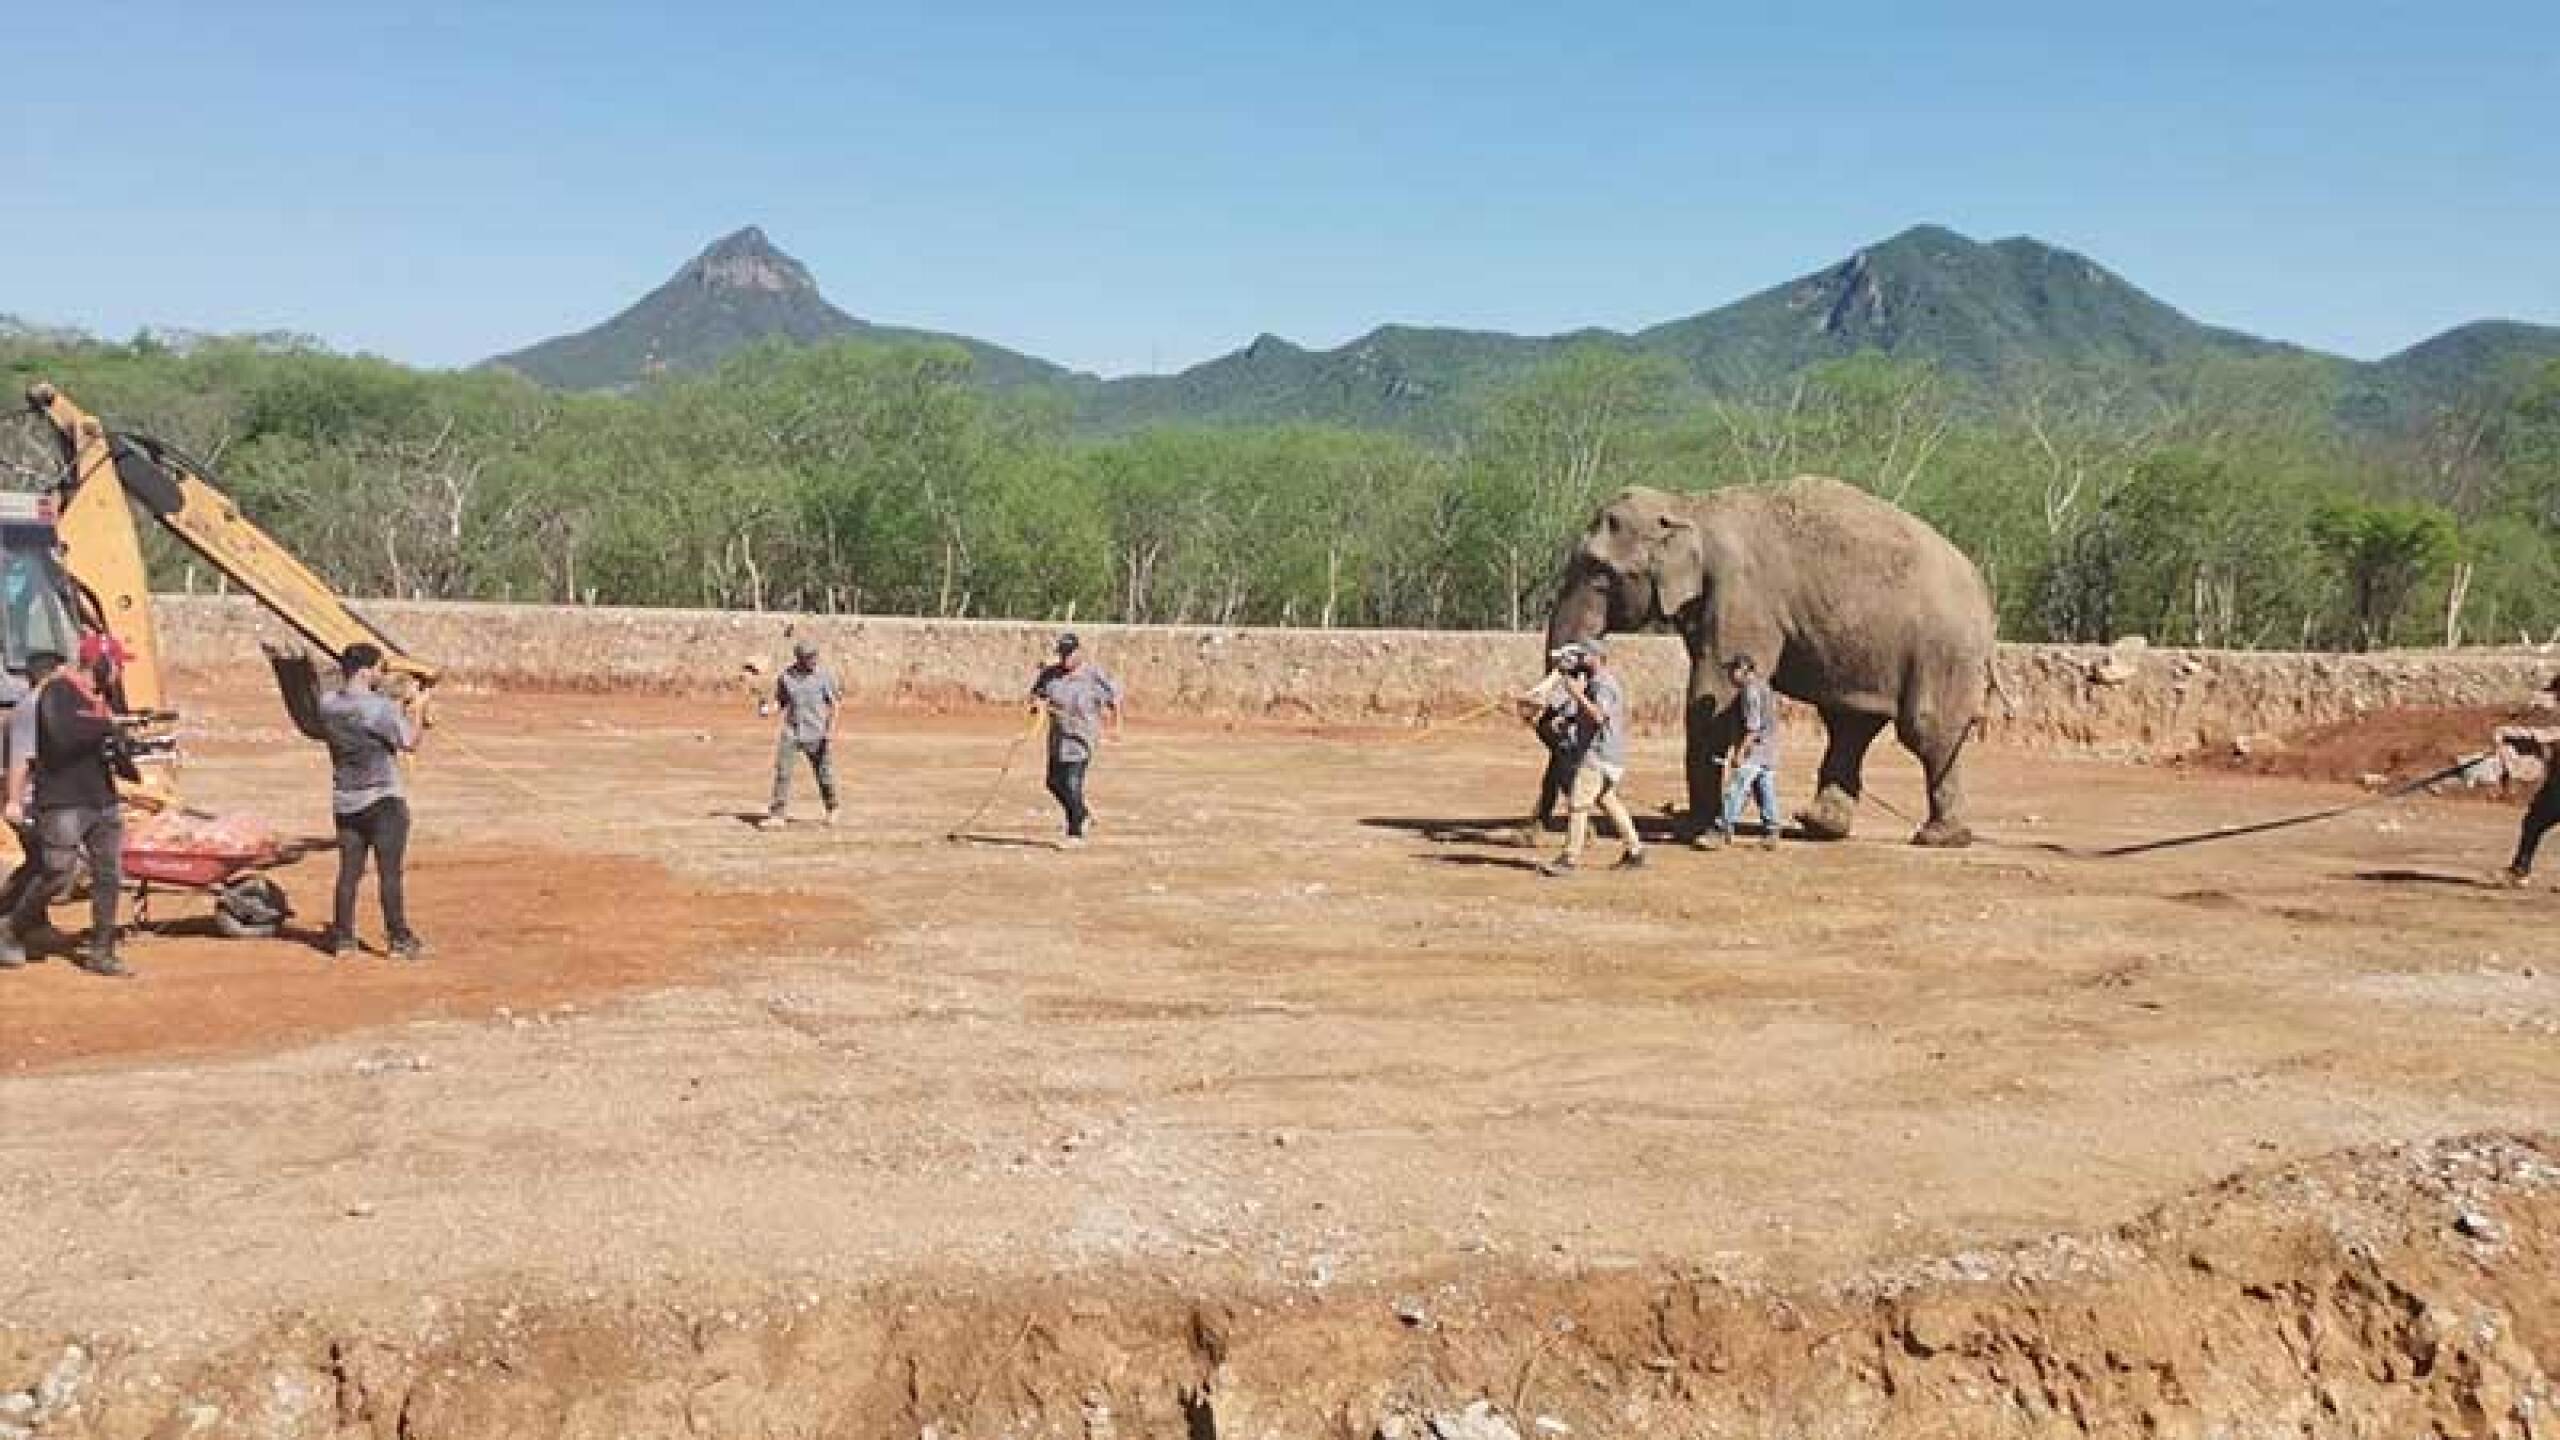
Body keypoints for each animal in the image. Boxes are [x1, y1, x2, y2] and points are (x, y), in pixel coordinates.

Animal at [1544, 476, 1998, 847]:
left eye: (1599, 571)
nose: (1533, 832)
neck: (1691, 505)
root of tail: (1983, 591)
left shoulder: (1741, 595)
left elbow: (1712, 693)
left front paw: (1692, 830)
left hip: (1944, 649)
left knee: (1923, 729)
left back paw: (1940, 837)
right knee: (1849, 724)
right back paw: (1818, 825)